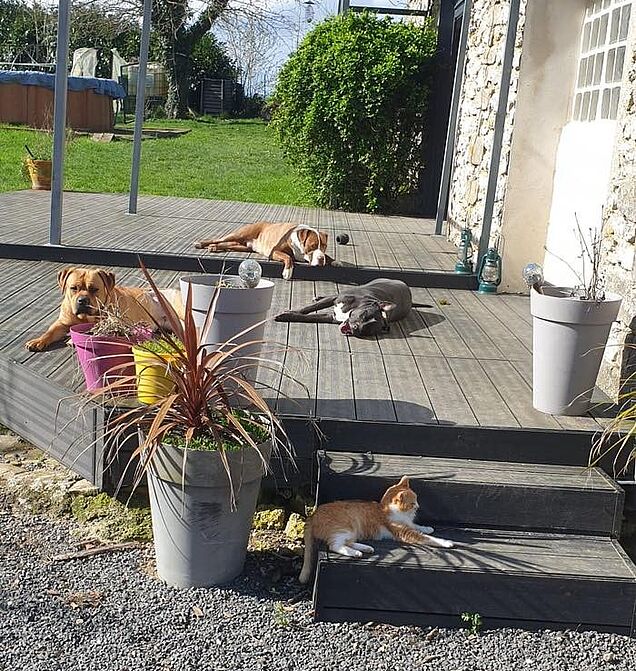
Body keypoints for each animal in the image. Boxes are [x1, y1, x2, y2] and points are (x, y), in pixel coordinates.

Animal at [24, 267, 180, 352]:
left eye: (94, 289)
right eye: (73, 288)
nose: (82, 300)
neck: (84, 317)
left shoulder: (115, 323)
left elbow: (95, 329)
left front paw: (72, 340)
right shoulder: (61, 323)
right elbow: (50, 332)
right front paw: (37, 341)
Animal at [194, 221, 334, 280]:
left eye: (324, 246)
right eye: (312, 246)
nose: (320, 259)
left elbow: (330, 258)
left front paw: (331, 261)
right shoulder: (275, 251)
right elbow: (288, 257)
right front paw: (287, 272)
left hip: (243, 246)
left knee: (227, 245)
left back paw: (214, 247)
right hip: (239, 234)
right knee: (220, 239)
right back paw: (201, 243)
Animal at [275, 279, 414, 337]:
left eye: (366, 331)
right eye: (364, 314)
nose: (355, 328)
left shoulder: (331, 317)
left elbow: (310, 317)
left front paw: (286, 316)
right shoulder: (335, 299)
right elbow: (309, 308)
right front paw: (289, 312)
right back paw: (318, 297)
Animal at [299, 476, 454, 584]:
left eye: (416, 500)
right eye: (412, 503)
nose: (418, 506)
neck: (387, 510)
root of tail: (313, 515)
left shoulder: (408, 525)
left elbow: (417, 527)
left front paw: (427, 528)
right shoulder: (404, 532)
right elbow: (425, 538)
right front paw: (445, 542)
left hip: (351, 532)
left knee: (347, 542)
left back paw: (365, 548)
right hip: (344, 528)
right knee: (335, 546)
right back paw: (356, 553)